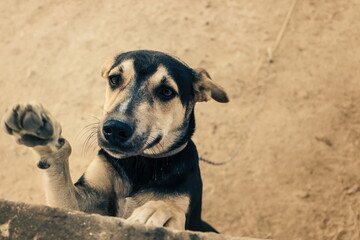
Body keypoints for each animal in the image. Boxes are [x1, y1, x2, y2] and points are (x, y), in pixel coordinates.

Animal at [1, 50, 229, 232]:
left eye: (166, 92)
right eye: (114, 79)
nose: (116, 128)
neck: (139, 162)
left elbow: (171, 208)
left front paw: (159, 209)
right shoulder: (75, 207)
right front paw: (43, 137)